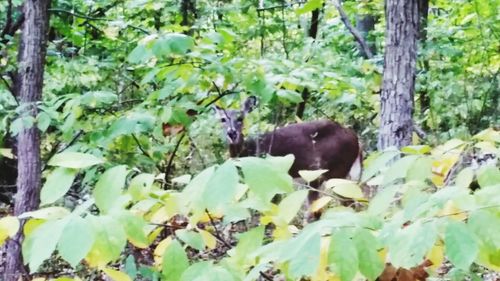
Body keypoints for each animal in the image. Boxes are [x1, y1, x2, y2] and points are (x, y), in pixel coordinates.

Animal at [213, 96, 362, 219]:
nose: (232, 133)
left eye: (240, 118)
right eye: (222, 119)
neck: (250, 150)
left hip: (334, 170)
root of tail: (356, 140)